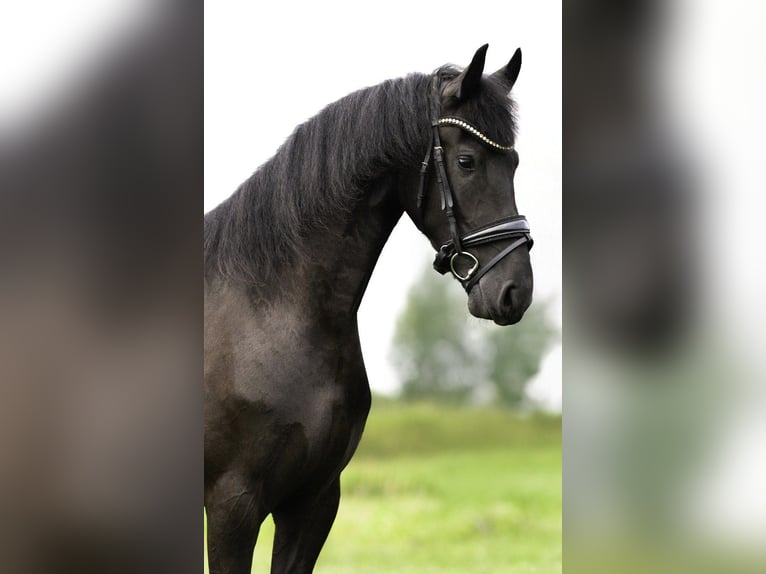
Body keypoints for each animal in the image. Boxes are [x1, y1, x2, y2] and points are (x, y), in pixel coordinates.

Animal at [203, 44, 533, 573]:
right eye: (466, 161)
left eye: (516, 163)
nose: (514, 290)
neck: (268, 313)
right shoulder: (232, 505)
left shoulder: (314, 501)